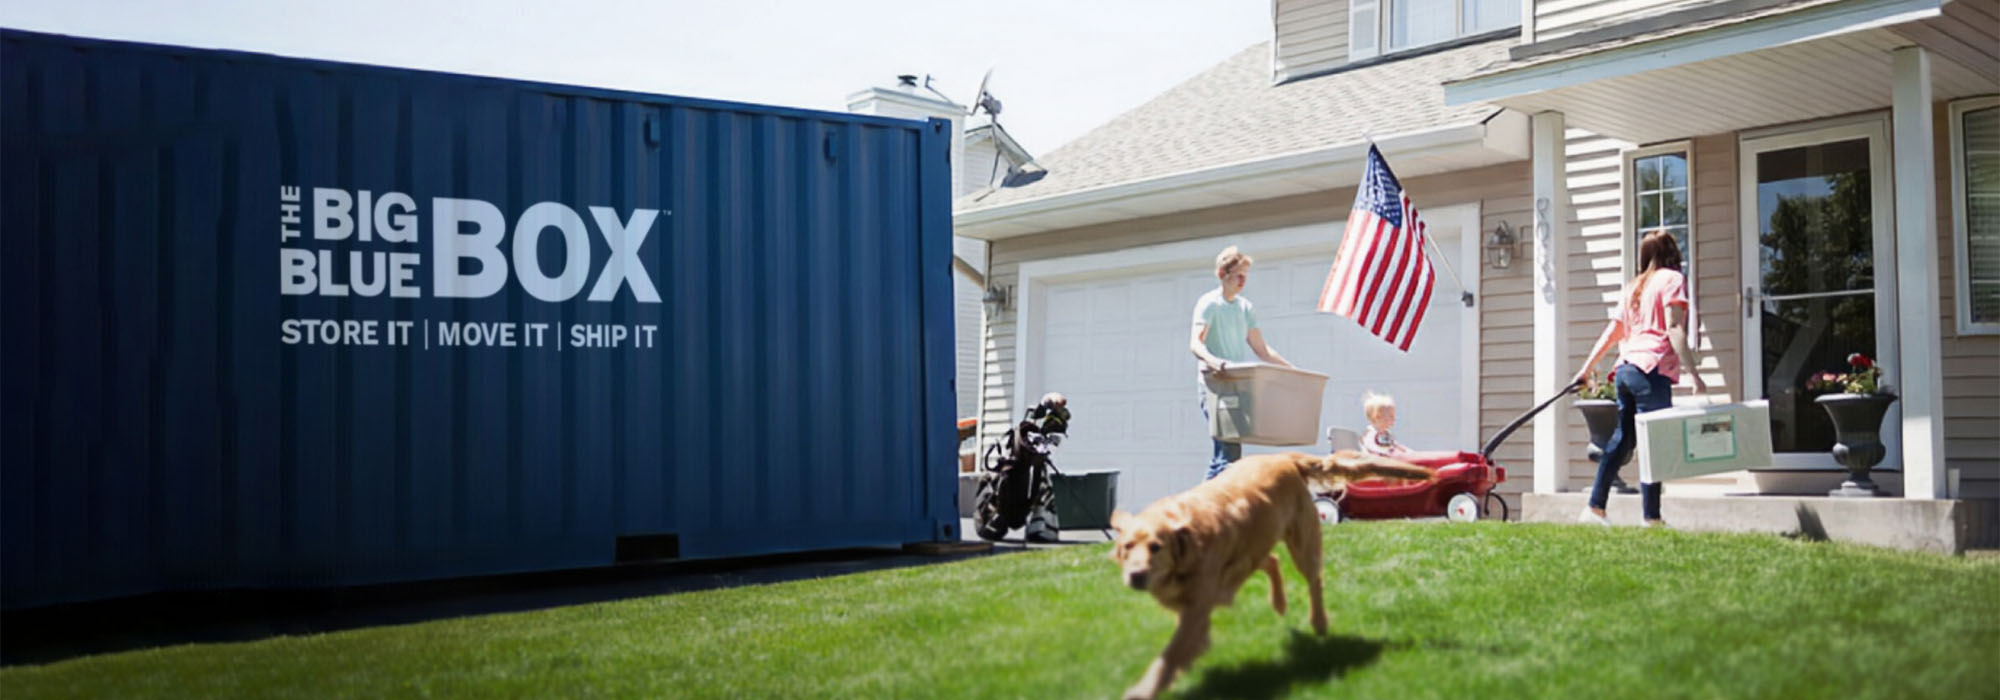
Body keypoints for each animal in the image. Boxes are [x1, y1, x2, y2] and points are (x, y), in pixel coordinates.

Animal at [1112, 452, 1424, 696]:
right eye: (1127, 547)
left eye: (1156, 547)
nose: (1136, 576)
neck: (1190, 541)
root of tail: (1283, 457)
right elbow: (1184, 649)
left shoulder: (1198, 607)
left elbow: (1170, 655)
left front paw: (1143, 689)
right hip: (1256, 545)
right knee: (1272, 561)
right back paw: (1279, 604)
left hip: (1301, 542)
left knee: (1315, 581)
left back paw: (1319, 622)